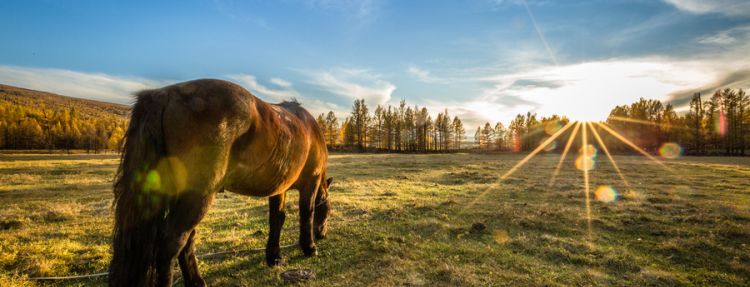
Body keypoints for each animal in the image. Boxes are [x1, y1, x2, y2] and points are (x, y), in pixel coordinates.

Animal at [108, 79, 332, 287]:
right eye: (328, 210)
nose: (322, 234)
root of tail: (165, 94)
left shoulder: (279, 188)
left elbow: (277, 219)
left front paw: (274, 257)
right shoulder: (310, 182)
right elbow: (307, 213)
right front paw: (309, 247)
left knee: (187, 239)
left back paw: (196, 281)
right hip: (198, 197)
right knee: (172, 242)